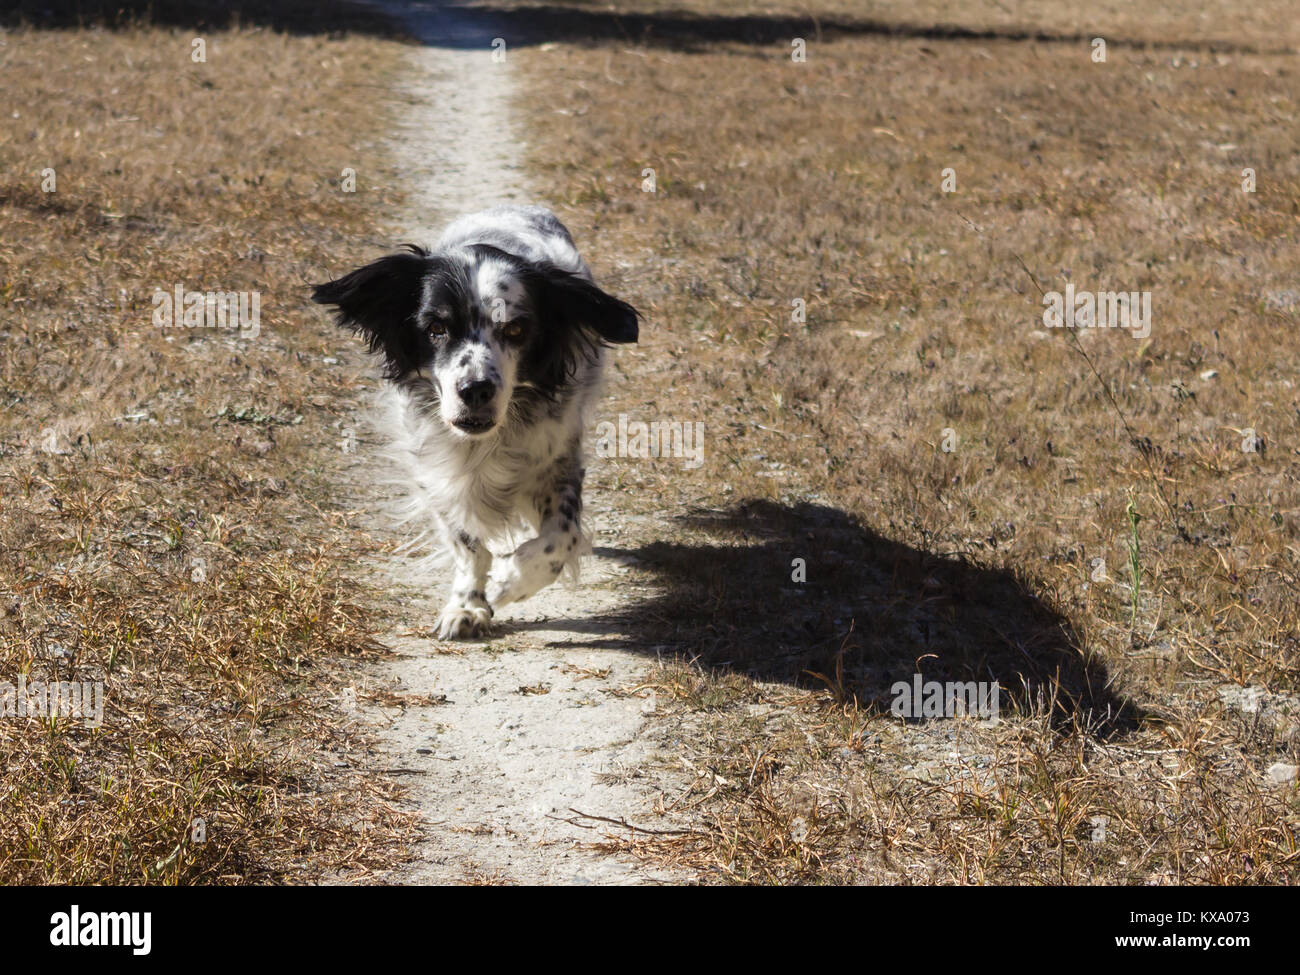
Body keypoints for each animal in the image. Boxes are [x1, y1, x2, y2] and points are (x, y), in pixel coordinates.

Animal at [314, 206, 639, 642]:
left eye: (516, 329)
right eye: (436, 328)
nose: (476, 390)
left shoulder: (559, 460)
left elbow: (559, 540)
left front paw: (505, 582)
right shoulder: (436, 472)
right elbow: (467, 544)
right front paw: (468, 605)